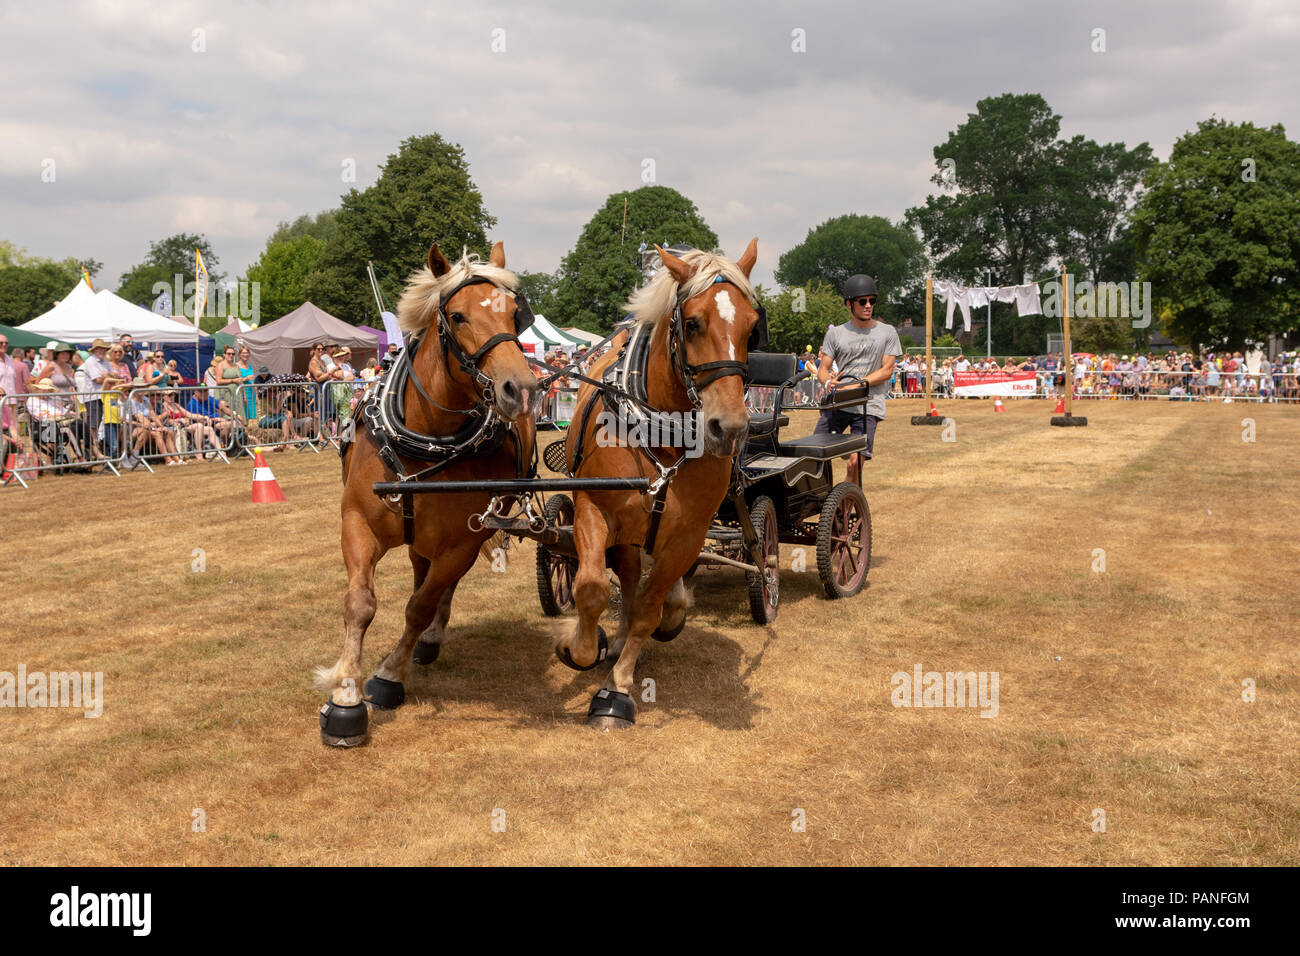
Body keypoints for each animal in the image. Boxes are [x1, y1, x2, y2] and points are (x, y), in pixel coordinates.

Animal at [315, 240, 538, 749]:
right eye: (457, 315)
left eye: (515, 314)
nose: (521, 389)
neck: (426, 440)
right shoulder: (356, 523)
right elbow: (360, 604)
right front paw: (346, 697)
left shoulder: (463, 541)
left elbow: (419, 607)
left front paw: (388, 676)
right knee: (420, 571)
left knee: (436, 589)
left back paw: (429, 640)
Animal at [556, 238, 759, 723]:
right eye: (693, 323)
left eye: (752, 328)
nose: (730, 428)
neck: (661, 439)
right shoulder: (593, 509)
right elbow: (591, 588)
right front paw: (579, 648)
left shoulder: (688, 535)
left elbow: (651, 609)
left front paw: (620, 686)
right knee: (626, 576)